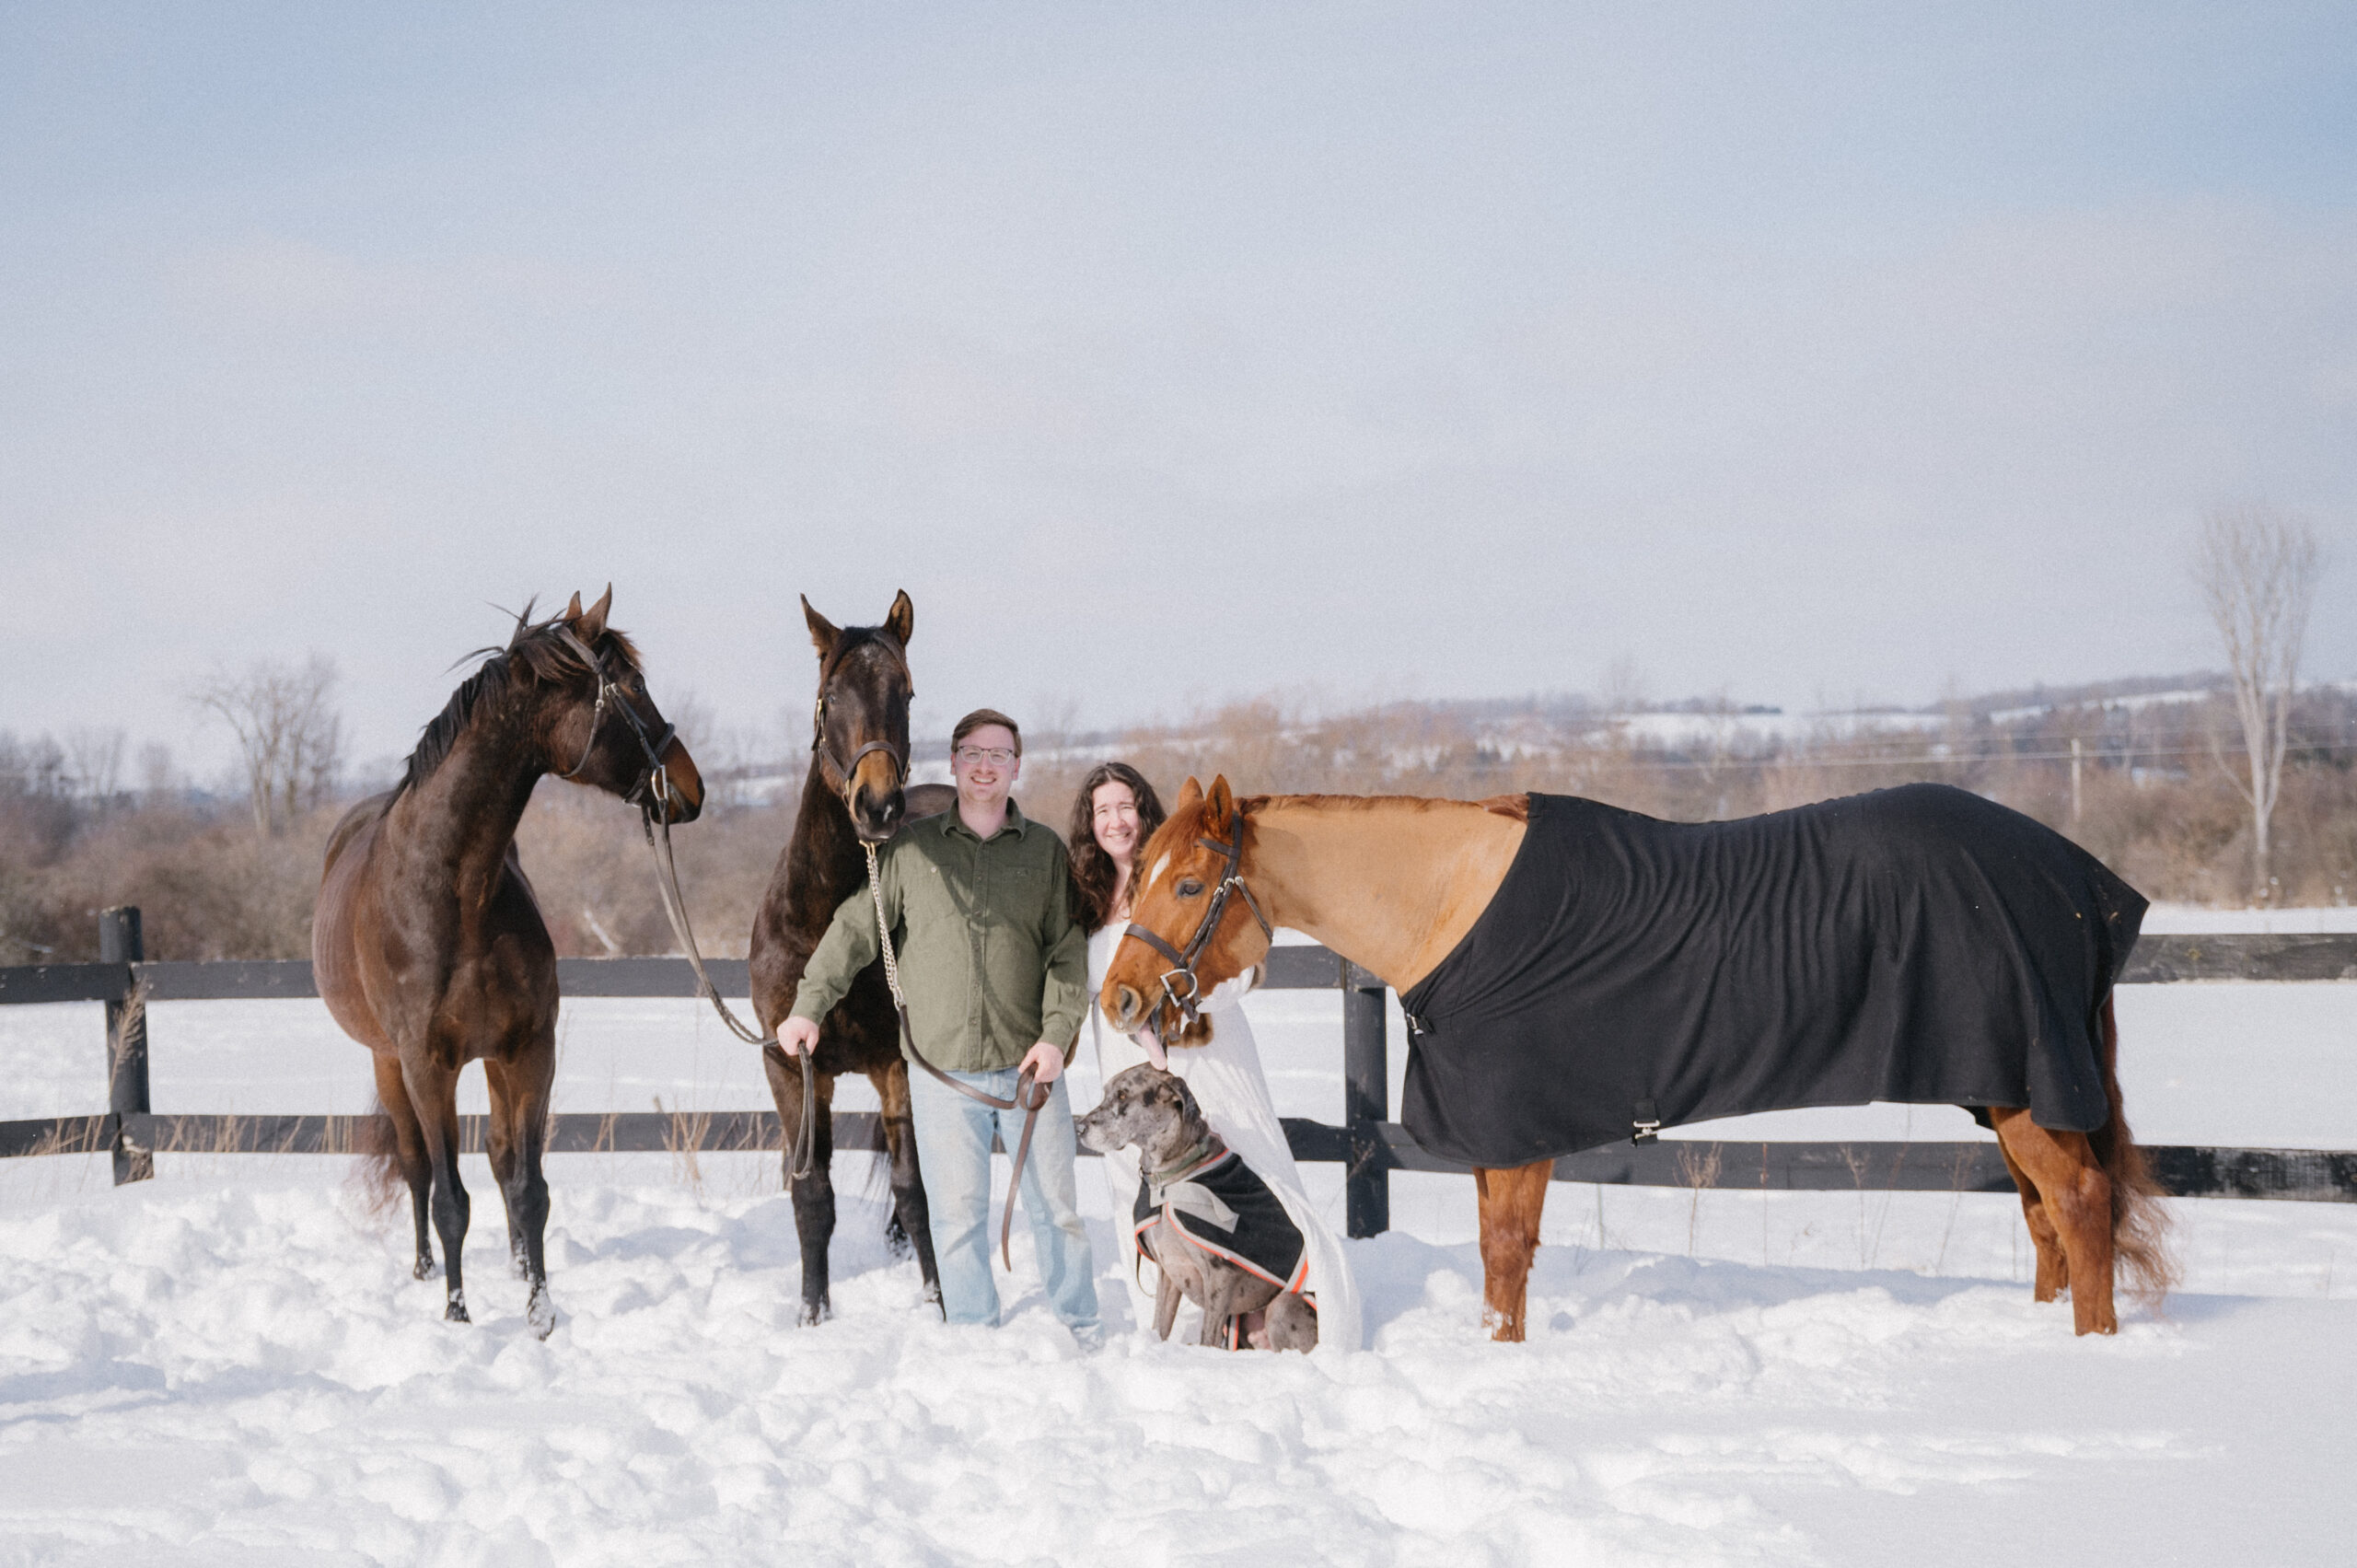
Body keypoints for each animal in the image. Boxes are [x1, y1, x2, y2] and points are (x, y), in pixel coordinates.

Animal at [314, 589, 703, 1335]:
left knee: (498, 1158)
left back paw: (521, 1267)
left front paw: (540, 1311)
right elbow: (448, 1198)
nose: (691, 788)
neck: (456, 897)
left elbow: (527, 1187)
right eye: (634, 687)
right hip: (387, 1061)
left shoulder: (528, 1050)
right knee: (415, 1167)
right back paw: (424, 1272)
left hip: (492, 1060)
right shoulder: (426, 1064)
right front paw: (458, 1315)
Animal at [748, 591, 954, 1325]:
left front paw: (939, 1305)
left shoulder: (896, 1062)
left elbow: (915, 1191)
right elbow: (813, 1197)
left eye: (906, 692)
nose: (878, 805)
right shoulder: (792, 1066)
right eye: (830, 695)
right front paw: (813, 1314)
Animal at [1076, 1064, 1318, 1351]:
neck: (1172, 1177)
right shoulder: (1168, 1271)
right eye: (1106, 1093)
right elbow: (1160, 1324)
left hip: (1284, 1304)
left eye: (1123, 1095)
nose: (1079, 1128)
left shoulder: (1221, 1275)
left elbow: (1208, 1337)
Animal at [1103, 775, 2174, 1342]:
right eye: (1138, 871)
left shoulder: (1520, 1130)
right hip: (1999, 1090)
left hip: (2023, 1088)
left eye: (1188, 882)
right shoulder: (1498, 1135)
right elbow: (1496, 1256)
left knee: (2078, 1204)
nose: (1119, 998)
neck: (1454, 909)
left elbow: (1506, 1253)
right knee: (2046, 1217)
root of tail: (2068, 872)